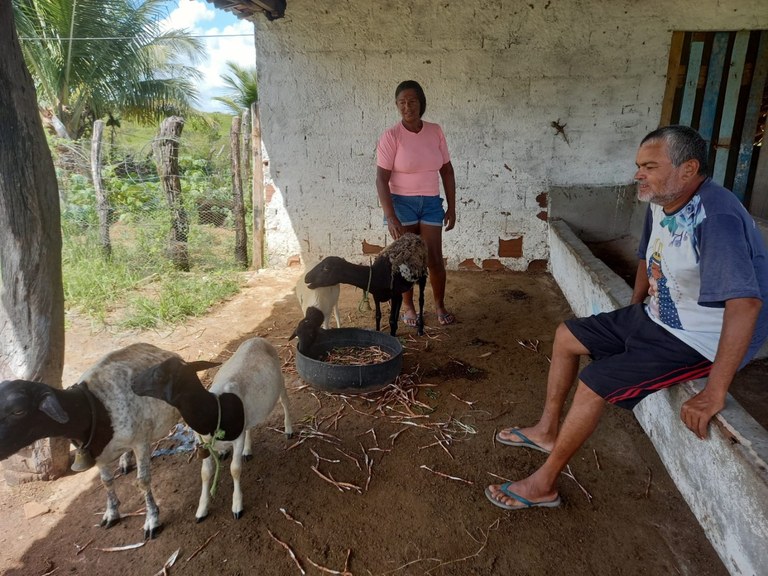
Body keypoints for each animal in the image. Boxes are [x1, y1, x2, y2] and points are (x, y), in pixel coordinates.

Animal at [0, 342, 213, 540]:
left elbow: (143, 481)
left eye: (18, 410)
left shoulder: (141, 443)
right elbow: (106, 482)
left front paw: (152, 521)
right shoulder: (97, 453)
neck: (93, 406)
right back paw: (125, 461)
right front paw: (111, 514)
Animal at [130, 338, 292, 520]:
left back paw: (288, 429)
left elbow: (235, 469)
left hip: (280, 380)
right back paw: (247, 450)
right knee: (249, 425)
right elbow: (205, 473)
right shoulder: (204, 443)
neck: (214, 410)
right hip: (250, 410)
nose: (132, 383)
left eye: (159, 374)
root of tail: (256, 339)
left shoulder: (237, 439)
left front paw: (237, 506)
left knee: (285, 402)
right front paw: (202, 509)